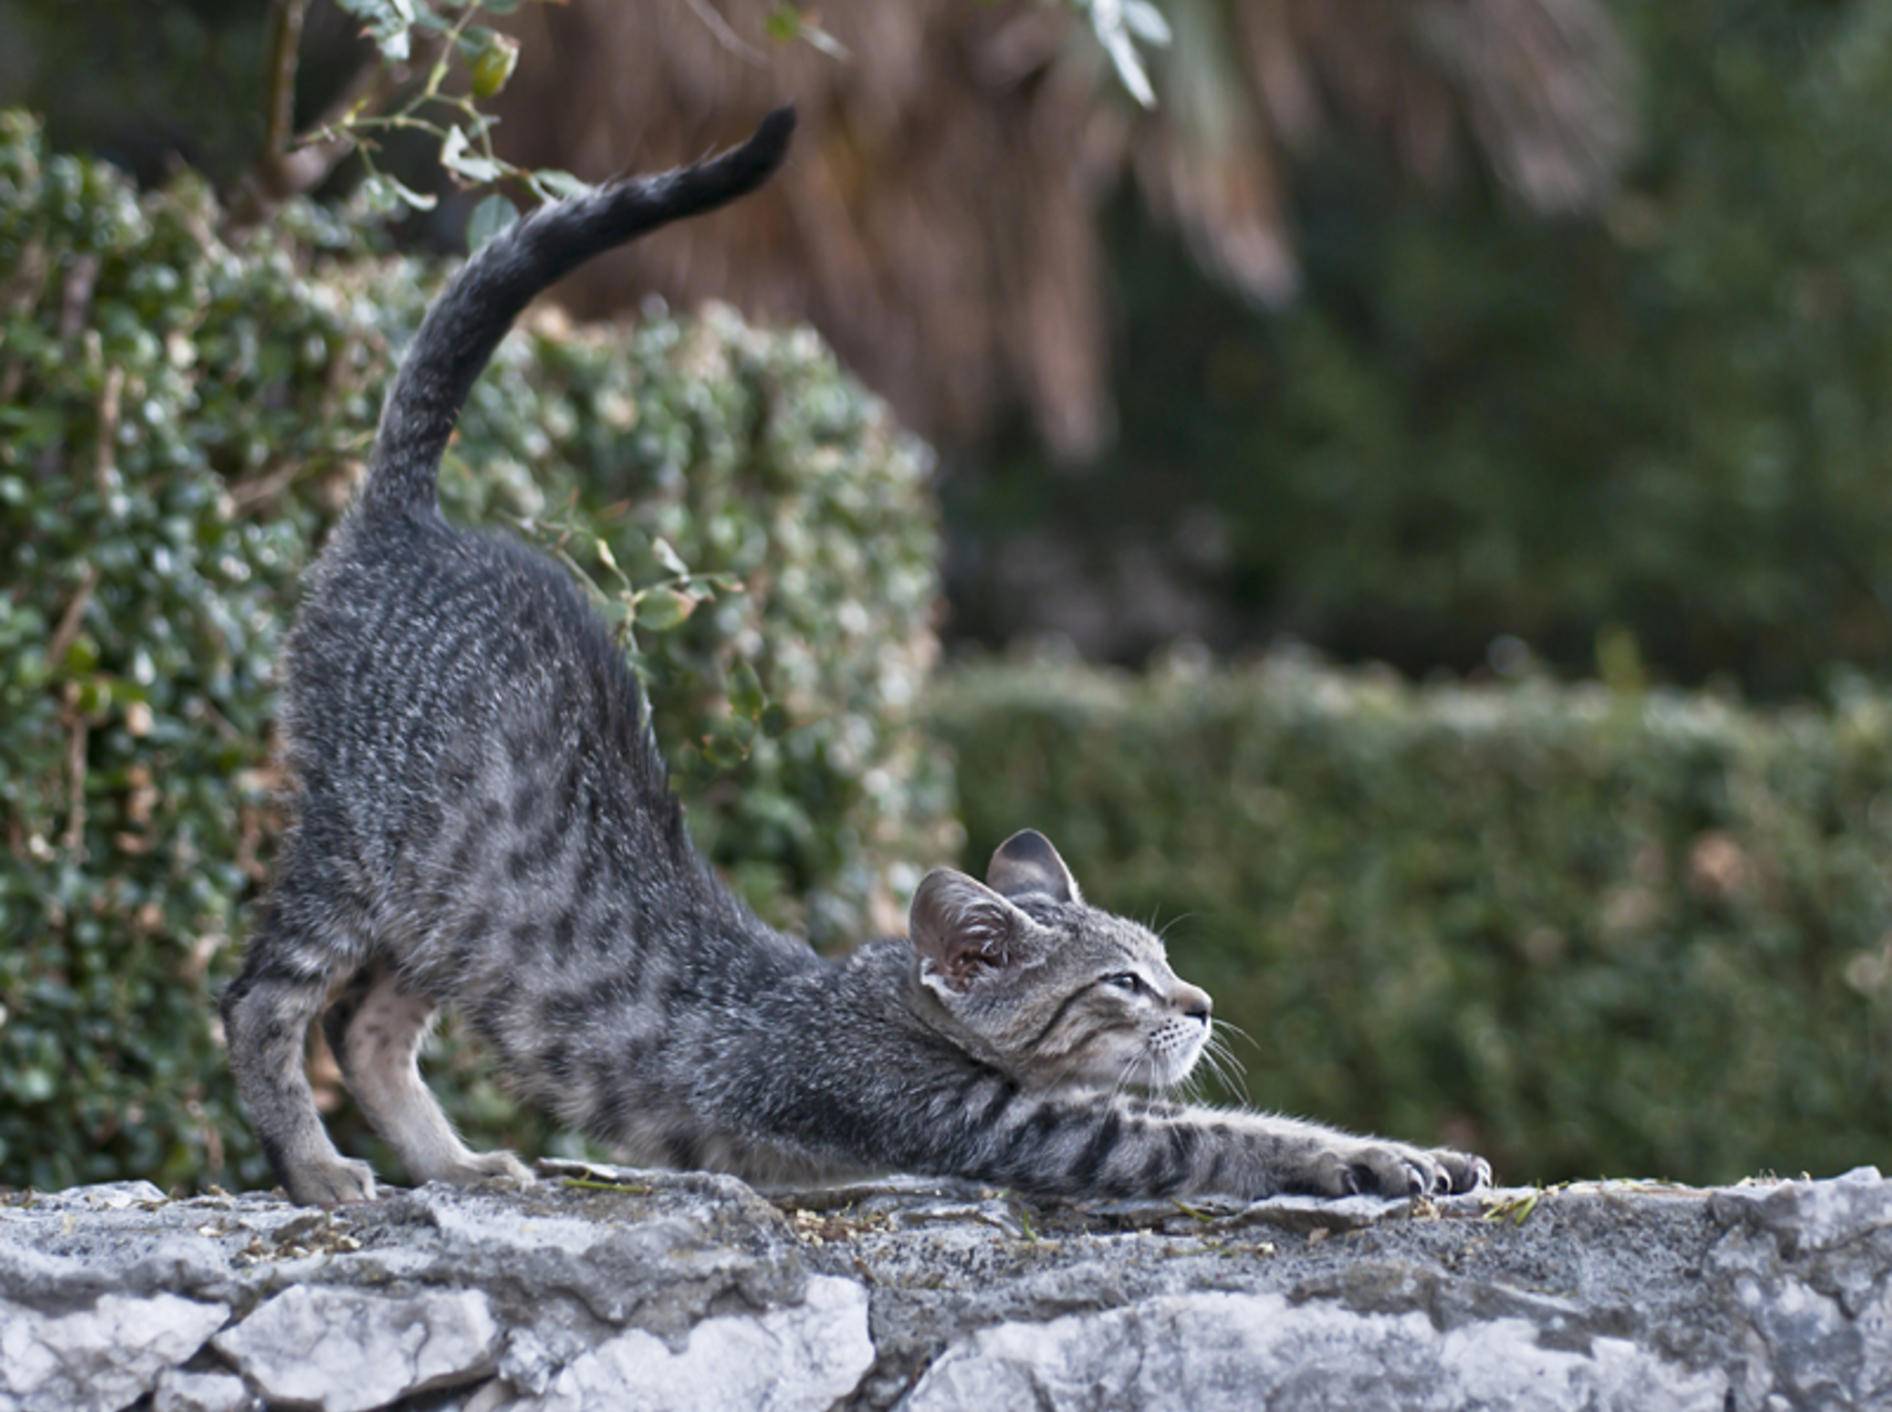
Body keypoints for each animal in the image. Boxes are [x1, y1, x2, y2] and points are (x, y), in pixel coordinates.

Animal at [221, 112, 1490, 1211]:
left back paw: (450, 1161)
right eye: (1122, 982)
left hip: (450, 901)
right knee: (261, 1001)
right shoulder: (1008, 1126)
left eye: (1161, 959)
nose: (1203, 999)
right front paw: (1369, 1155)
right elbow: (1219, 1134)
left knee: (368, 1027)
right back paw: (315, 1167)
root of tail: (412, 513)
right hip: (351, 840)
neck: (887, 996)